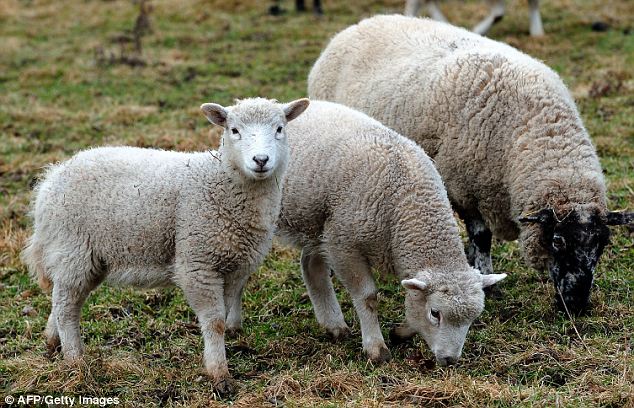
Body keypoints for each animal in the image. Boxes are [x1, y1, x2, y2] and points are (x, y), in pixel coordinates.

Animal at [23, 97, 310, 394]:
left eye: (279, 129)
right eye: (234, 130)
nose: (261, 160)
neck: (220, 182)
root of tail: (51, 179)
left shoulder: (236, 267)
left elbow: (226, 314)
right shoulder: (197, 263)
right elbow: (215, 322)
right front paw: (219, 374)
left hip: (88, 257)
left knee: (61, 299)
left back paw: (52, 342)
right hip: (74, 248)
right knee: (66, 307)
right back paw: (75, 360)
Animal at [274, 100, 506, 364]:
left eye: (473, 319)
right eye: (435, 313)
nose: (450, 360)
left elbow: (412, 302)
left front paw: (400, 332)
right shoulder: (342, 244)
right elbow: (368, 297)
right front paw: (376, 348)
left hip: (317, 222)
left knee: (311, 266)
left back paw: (333, 325)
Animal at [304, 15, 628, 316]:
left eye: (602, 245)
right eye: (558, 241)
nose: (576, 305)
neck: (535, 130)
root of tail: (354, 27)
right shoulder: (463, 186)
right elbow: (482, 237)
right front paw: (487, 280)